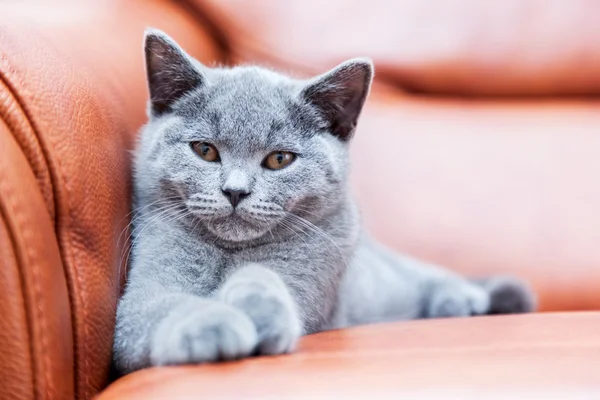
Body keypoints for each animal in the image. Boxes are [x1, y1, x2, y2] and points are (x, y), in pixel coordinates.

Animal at [112, 28, 536, 376]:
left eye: (279, 159)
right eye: (205, 150)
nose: (235, 191)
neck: (229, 253)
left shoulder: (311, 278)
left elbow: (266, 277)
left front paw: (261, 311)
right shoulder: (138, 300)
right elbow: (161, 306)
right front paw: (214, 324)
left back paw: (465, 298)